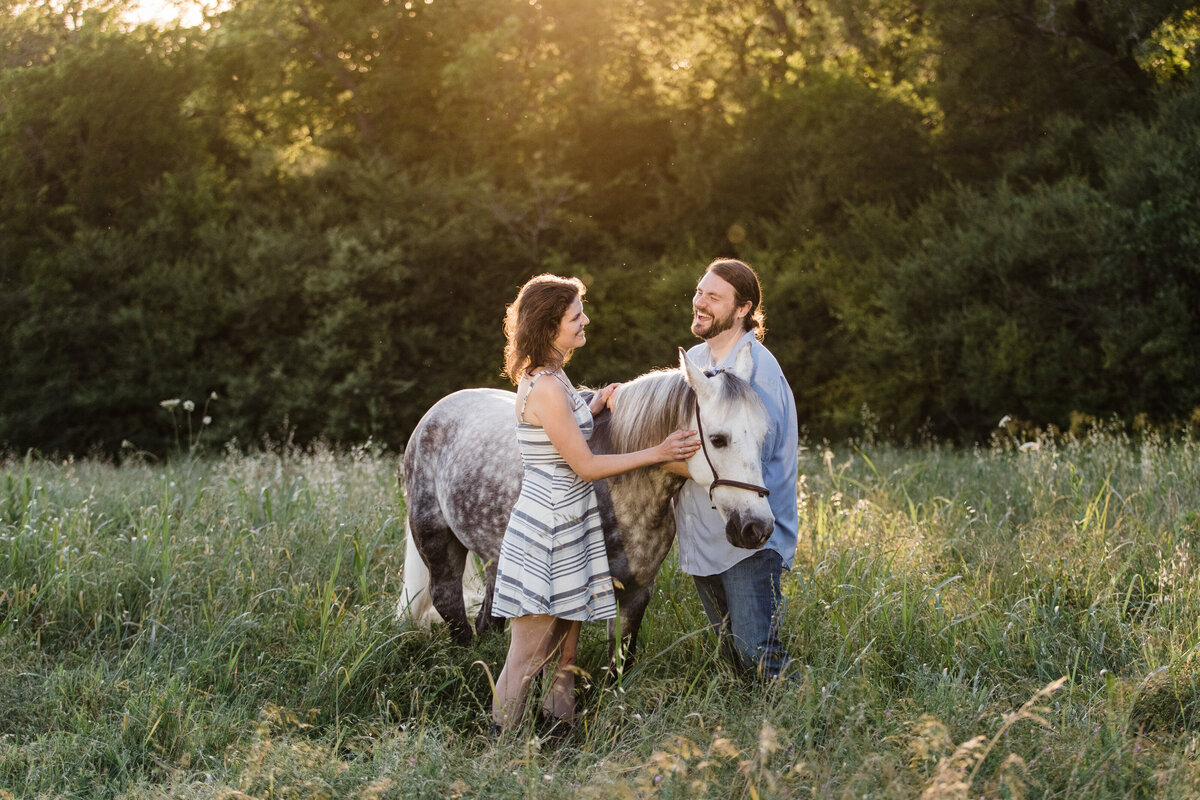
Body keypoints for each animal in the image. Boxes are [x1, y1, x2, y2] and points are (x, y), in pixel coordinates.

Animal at [398, 345, 772, 662]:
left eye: (764, 437)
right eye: (718, 439)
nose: (758, 528)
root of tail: (434, 414)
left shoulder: (637, 592)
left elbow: (619, 662)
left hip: (496, 557)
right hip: (437, 540)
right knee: (447, 600)